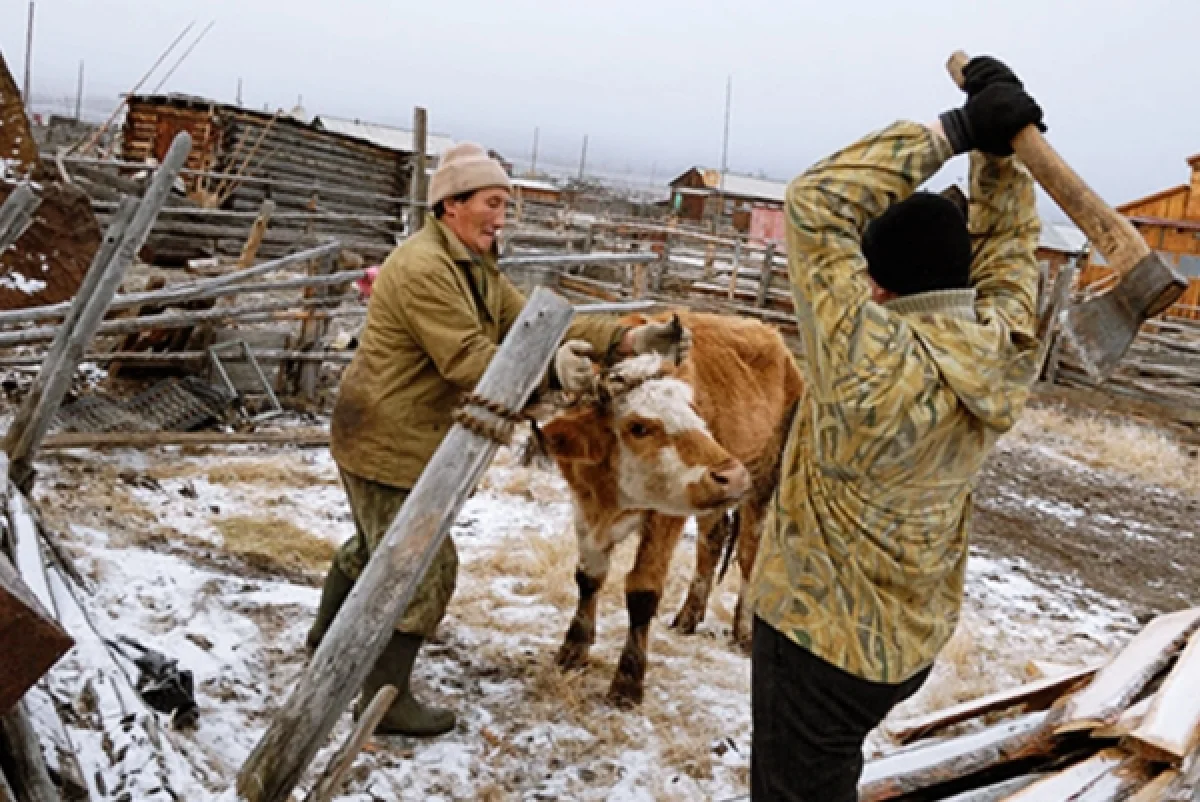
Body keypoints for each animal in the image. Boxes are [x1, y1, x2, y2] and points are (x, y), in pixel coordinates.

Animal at [537, 309, 801, 705]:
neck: (610, 497)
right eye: (638, 427)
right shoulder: (584, 506)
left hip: (764, 479)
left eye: (694, 410)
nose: (733, 475)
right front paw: (573, 649)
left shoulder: (665, 516)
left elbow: (643, 591)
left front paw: (628, 680)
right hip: (713, 497)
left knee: (748, 554)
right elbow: (588, 578)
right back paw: (689, 616)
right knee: (713, 540)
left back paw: (742, 630)